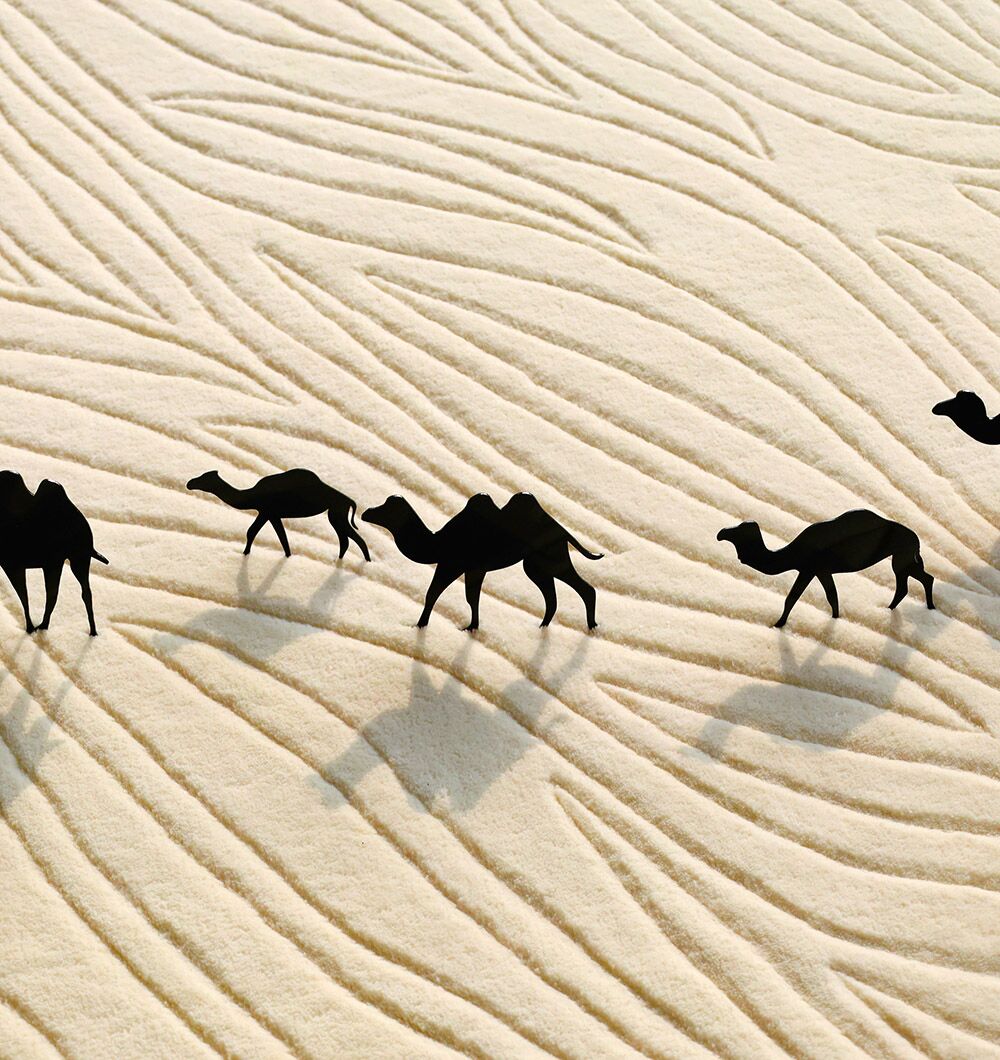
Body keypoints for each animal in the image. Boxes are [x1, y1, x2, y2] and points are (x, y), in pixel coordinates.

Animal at [0, 471, 109, 636]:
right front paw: (31, 628)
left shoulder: (12, 564)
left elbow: (23, 595)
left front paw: (30, 629)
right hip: (64, 560)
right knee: (62, 593)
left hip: (73, 558)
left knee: (75, 592)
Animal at [187, 468, 370, 561]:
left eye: (205, 478)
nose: (189, 483)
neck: (251, 495)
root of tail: (350, 501)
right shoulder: (267, 513)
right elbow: (263, 534)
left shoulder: (269, 512)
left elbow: (273, 535)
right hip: (335, 513)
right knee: (345, 539)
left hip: (336, 511)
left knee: (352, 538)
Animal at [362, 492, 602, 630]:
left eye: (388, 507)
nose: (367, 512)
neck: (439, 542)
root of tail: (564, 533)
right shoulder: (469, 568)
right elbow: (469, 597)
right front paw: (470, 626)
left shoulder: (455, 564)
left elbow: (440, 594)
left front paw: (422, 625)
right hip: (535, 564)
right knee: (552, 596)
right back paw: (542, 626)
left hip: (551, 557)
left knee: (583, 588)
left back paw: (591, 626)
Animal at [716, 509, 934, 628]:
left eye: (739, 531)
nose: (720, 533)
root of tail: (916, 538)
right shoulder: (822, 571)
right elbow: (832, 596)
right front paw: (836, 618)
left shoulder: (809, 569)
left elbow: (792, 598)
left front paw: (778, 624)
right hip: (904, 557)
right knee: (913, 582)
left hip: (902, 556)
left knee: (916, 580)